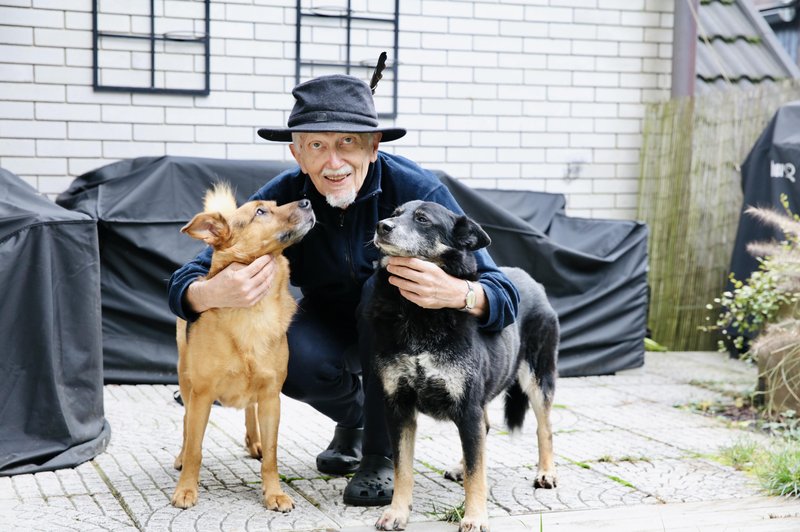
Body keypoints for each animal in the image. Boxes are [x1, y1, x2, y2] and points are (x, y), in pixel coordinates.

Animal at [170, 183, 314, 512]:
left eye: (275, 203)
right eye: (260, 212)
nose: (308, 202)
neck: (254, 310)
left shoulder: (272, 395)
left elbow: (273, 455)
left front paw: (274, 493)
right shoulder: (201, 395)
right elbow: (195, 448)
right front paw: (186, 489)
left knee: (250, 410)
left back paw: (254, 441)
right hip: (185, 379)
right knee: (185, 425)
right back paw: (181, 457)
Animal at [368, 201, 556, 532]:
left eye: (422, 219)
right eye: (395, 212)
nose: (382, 226)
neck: (416, 313)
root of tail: (533, 281)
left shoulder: (467, 405)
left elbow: (476, 472)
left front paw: (475, 517)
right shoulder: (398, 407)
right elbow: (403, 468)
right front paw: (397, 512)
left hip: (537, 377)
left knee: (544, 428)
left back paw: (546, 472)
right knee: (486, 430)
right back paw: (459, 466)